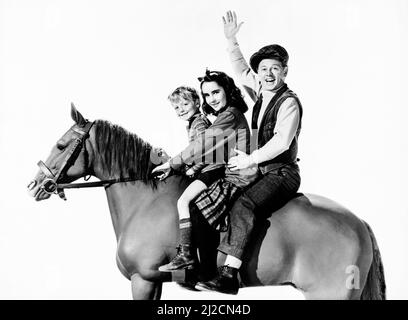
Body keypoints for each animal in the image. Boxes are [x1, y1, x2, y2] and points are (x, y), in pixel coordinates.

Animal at [28, 105, 386, 300]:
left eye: (61, 145)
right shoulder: (152, 283)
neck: (145, 200)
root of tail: (359, 223)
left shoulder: (142, 280)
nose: (35, 184)